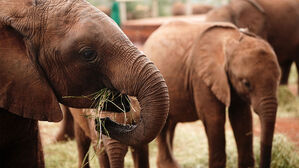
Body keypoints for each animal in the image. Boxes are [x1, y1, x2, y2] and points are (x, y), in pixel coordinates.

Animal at [144, 21, 282, 168]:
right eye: (246, 83)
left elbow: (242, 118)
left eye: (278, 79)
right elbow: (215, 119)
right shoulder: (201, 76)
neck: (233, 38)